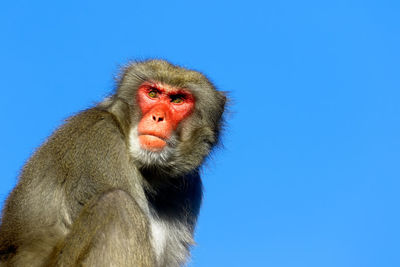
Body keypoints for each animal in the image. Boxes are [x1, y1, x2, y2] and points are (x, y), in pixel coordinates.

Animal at [0, 59, 225, 266]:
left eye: (178, 100)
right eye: (152, 93)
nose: (158, 117)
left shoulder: (190, 187)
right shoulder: (99, 143)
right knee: (117, 205)